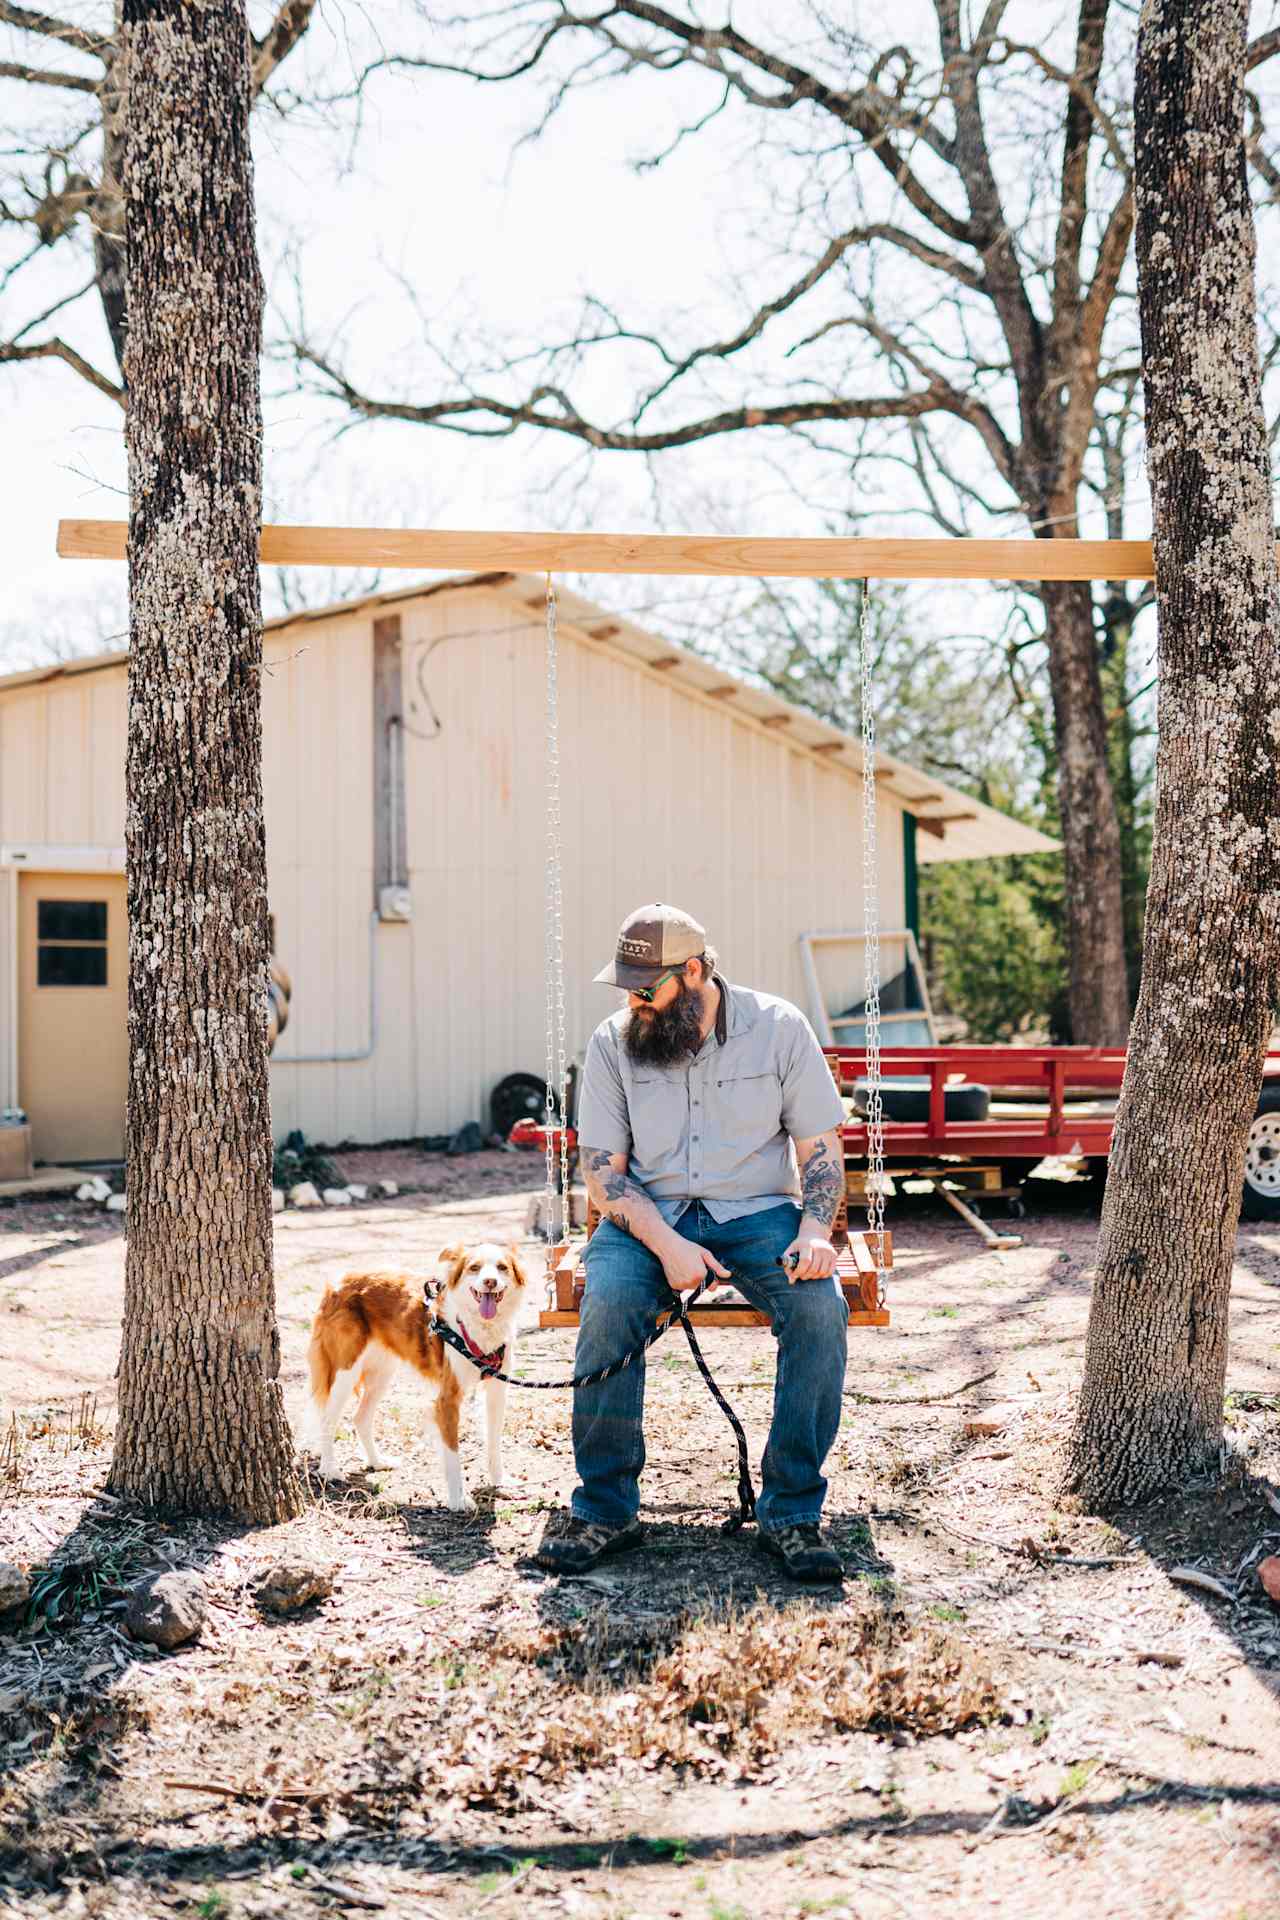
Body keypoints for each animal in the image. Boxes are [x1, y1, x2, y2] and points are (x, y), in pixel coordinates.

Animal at [303, 1244, 529, 1512]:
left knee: (360, 1418)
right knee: (327, 1419)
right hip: (345, 1372)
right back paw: (329, 1469)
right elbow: (453, 1454)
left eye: (502, 1267)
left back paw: (377, 1462)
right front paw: (458, 1500)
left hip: (382, 1372)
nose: (490, 1282)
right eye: (475, 1267)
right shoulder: (447, 1400)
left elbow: (494, 1441)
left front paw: (500, 1481)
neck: (480, 1328)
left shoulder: (496, 1392)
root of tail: (338, 1282)